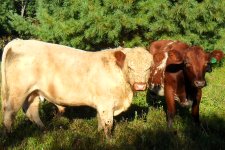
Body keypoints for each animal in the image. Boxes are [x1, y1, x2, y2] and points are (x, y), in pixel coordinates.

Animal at [1, 39, 153, 138]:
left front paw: (98, 134)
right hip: (17, 91)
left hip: (33, 92)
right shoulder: (106, 103)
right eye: (130, 66)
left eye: (149, 67)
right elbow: (108, 123)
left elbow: (99, 119)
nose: (140, 85)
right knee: (9, 113)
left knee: (31, 111)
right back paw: (10, 136)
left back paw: (45, 131)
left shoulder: (101, 103)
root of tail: (18, 41)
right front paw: (109, 140)